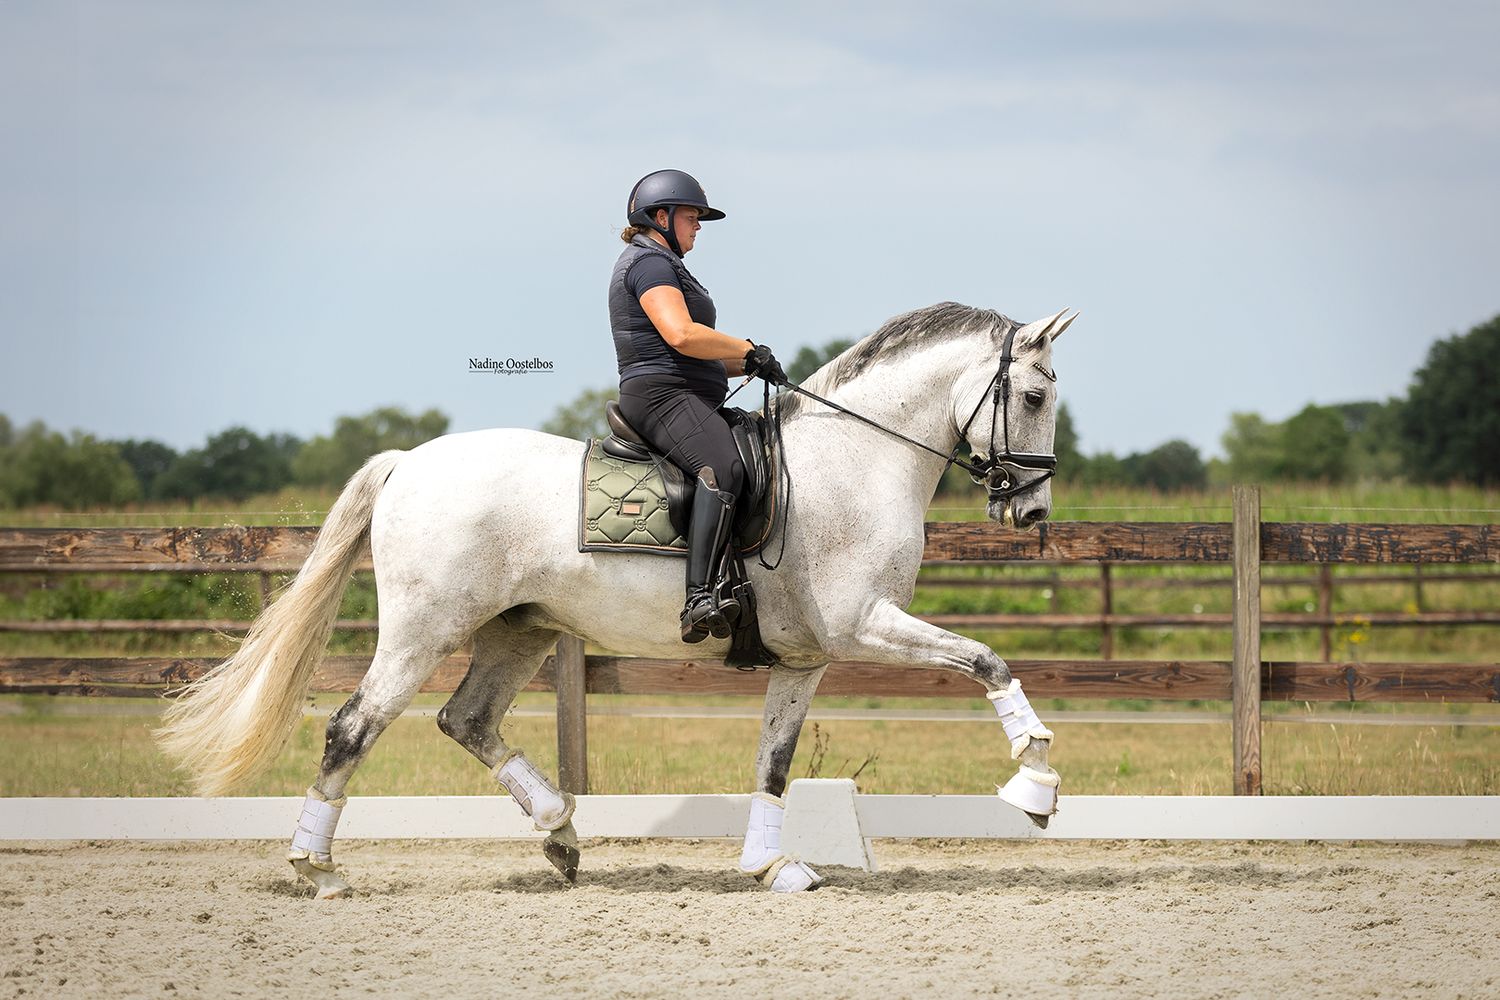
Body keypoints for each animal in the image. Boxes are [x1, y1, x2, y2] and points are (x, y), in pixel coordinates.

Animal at [156, 301, 1073, 897]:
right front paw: (1034, 782)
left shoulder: (807, 658)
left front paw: (772, 866)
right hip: (424, 630)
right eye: (1033, 396)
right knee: (354, 726)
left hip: (517, 632)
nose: (1031, 512)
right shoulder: (865, 627)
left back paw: (561, 833)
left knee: (467, 720)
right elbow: (988, 660)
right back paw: (315, 866)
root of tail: (408, 461)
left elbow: (773, 763)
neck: (855, 461)